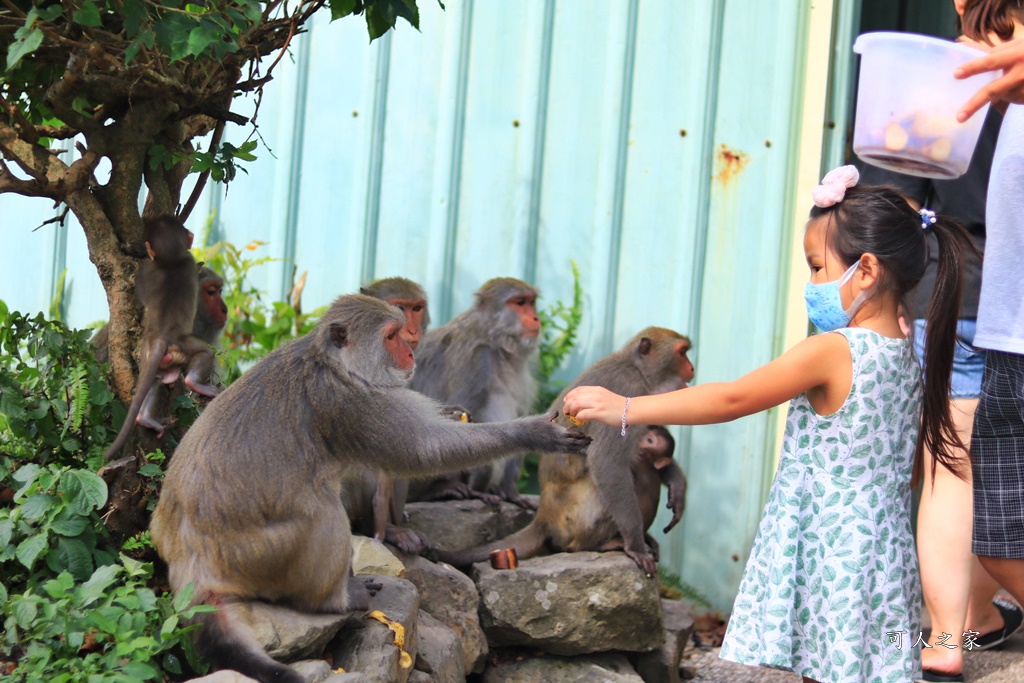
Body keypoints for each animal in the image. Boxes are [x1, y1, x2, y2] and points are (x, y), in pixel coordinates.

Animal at [102, 216, 221, 462]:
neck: (170, 262)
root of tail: (160, 339)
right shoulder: (189, 262)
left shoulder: (147, 271)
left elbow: (141, 291)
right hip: (184, 345)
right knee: (204, 353)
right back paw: (197, 383)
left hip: (150, 356)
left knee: (153, 382)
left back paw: (145, 418)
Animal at [147, 294, 589, 683]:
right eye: (392, 336)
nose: (410, 353)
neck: (333, 363)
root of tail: (190, 559)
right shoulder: (352, 403)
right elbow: (423, 451)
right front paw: (532, 432)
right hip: (259, 554)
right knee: (320, 507)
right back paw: (335, 598)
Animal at [436, 327, 692, 581]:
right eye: (682, 353)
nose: (692, 368)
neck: (639, 373)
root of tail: (544, 514)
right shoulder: (627, 390)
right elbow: (607, 464)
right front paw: (636, 546)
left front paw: (677, 483)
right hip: (577, 519)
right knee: (637, 477)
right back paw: (602, 543)